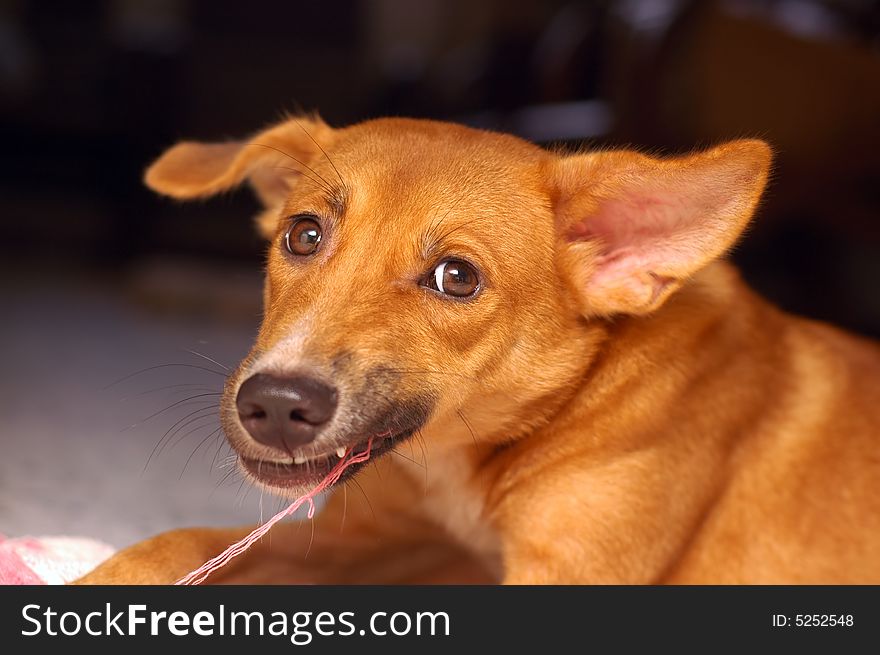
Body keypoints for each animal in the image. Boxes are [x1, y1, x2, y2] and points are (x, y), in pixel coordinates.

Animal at [77, 116, 880, 584]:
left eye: (457, 277)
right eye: (303, 234)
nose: (274, 404)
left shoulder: (566, 577)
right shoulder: (378, 537)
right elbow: (178, 542)